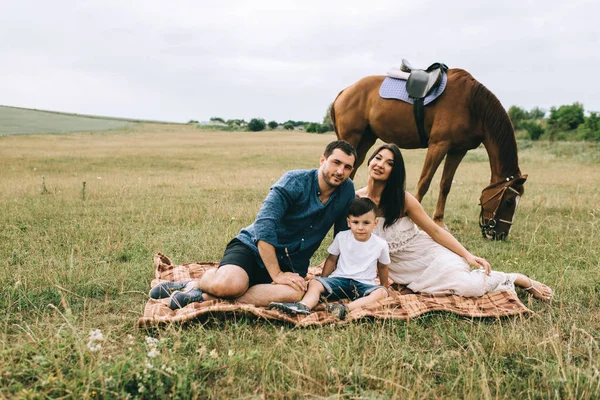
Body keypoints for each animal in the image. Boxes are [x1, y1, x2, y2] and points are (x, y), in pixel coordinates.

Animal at [332, 68, 524, 241]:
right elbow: (424, 182)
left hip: (366, 140)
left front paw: (439, 221)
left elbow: (445, 185)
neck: (472, 105)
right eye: (508, 201)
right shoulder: (439, 144)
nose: (500, 235)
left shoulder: (458, 150)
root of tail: (345, 91)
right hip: (351, 138)